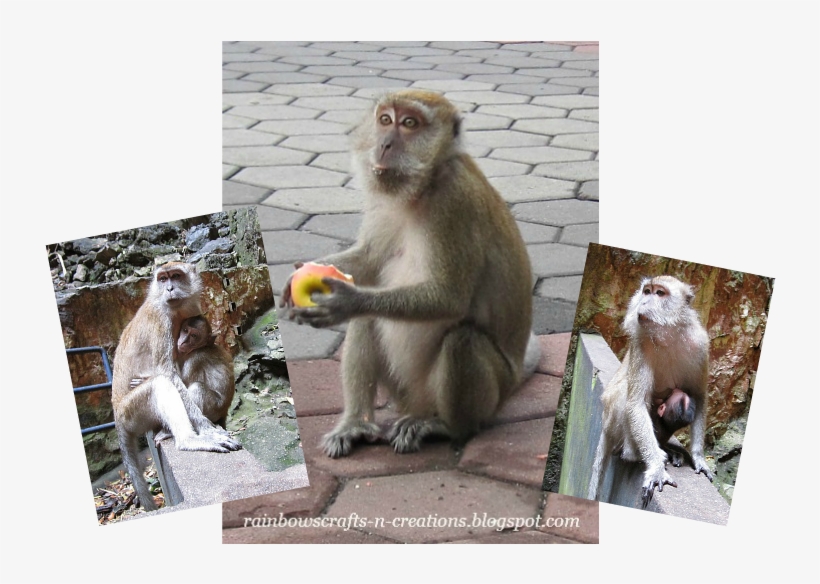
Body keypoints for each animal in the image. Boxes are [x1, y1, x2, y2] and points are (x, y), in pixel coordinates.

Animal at [112, 262, 240, 511]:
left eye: (176, 276)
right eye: (163, 279)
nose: (169, 288)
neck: (176, 310)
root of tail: (116, 415)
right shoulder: (160, 320)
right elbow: (168, 373)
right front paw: (206, 427)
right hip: (130, 413)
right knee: (161, 385)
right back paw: (188, 440)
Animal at [281, 89, 541, 458]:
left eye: (409, 124)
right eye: (385, 120)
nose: (385, 144)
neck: (423, 188)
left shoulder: (455, 202)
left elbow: (449, 298)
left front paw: (349, 301)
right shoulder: (384, 203)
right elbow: (369, 260)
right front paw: (295, 279)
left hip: (484, 398)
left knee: (462, 339)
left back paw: (445, 426)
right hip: (402, 391)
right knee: (368, 321)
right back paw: (356, 423)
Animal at [588, 275, 713, 509]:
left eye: (660, 293)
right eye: (647, 291)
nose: (644, 302)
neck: (668, 335)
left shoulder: (701, 345)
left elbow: (699, 396)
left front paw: (699, 457)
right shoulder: (640, 344)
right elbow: (636, 403)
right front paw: (656, 468)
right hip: (610, 418)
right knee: (625, 397)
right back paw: (633, 454)